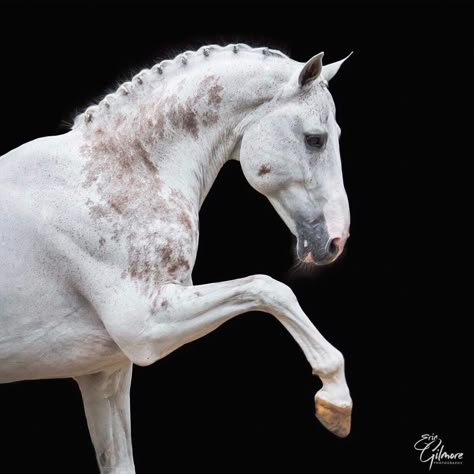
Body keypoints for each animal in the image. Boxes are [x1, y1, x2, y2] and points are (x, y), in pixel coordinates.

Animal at [0, 43, 352, 470]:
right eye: (315, 139)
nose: (336, 240)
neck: (121, 173)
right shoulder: (145, 327)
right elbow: (270, 289)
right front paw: (336, 399)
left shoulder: (105, 374)